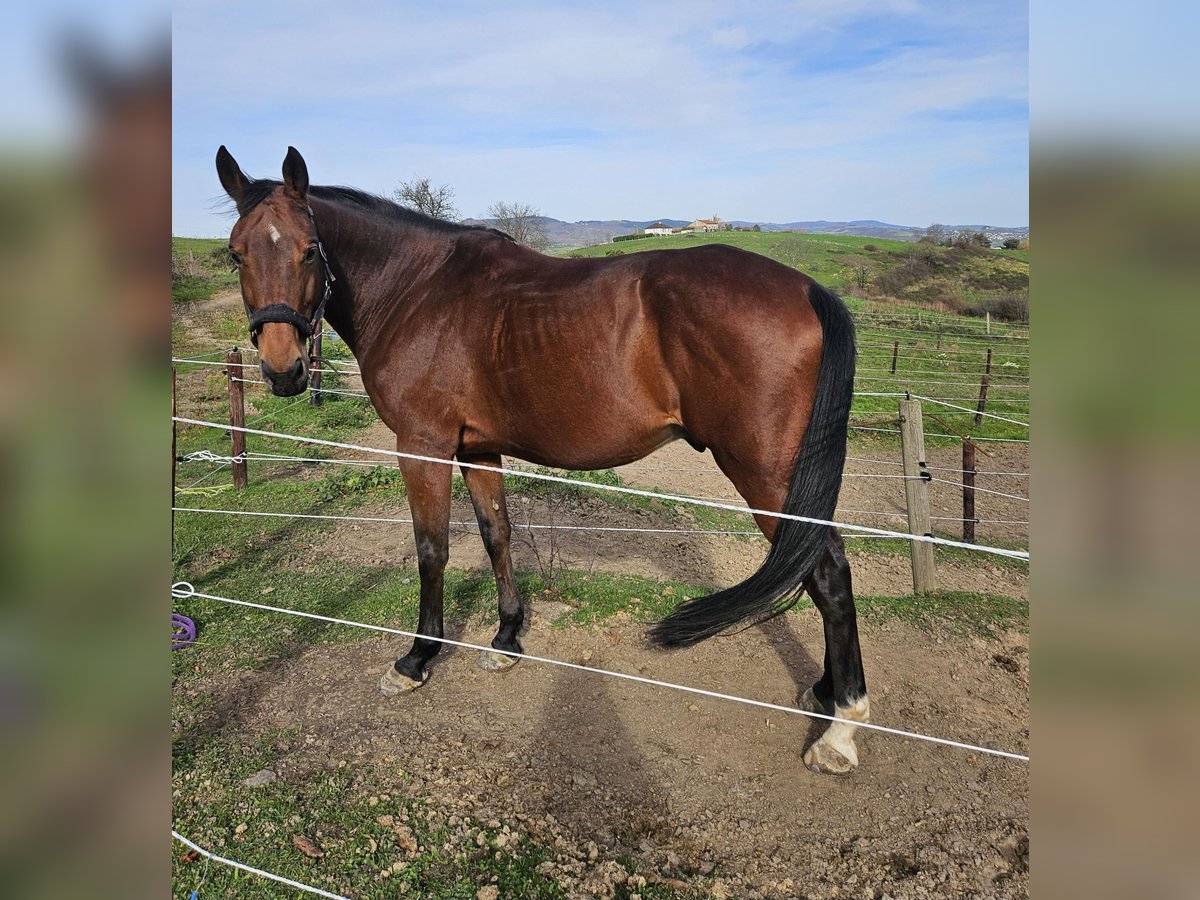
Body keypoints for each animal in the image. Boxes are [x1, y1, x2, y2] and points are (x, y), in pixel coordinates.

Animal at [215, 146, 870, 775]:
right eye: (235, 254)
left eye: (308, 251)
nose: (282, 369)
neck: (416, 290)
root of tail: (806, 289)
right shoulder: (478, 448)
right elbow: (497, 534)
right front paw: (507, 637)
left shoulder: (423, 446)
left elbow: (432, 550)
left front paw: (418, 657)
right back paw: (825, 694)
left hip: (766, 473)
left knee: (827, 572)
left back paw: (841, 729)